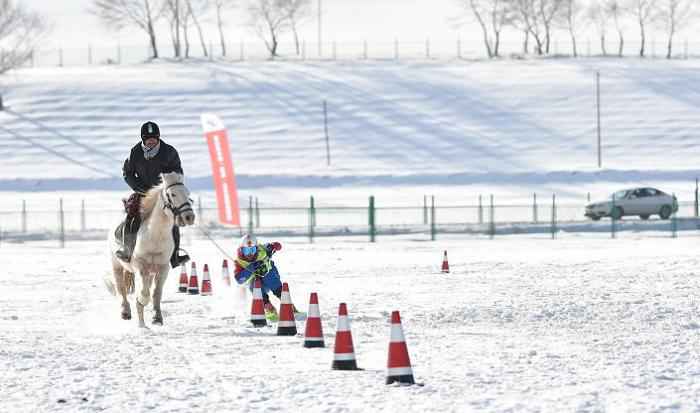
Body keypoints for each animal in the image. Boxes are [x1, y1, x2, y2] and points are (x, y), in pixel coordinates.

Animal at [105, 171, 196, 326]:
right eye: (172, 194)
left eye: (187, 193)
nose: (189, 216)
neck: (155, 235)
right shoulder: (140, 266)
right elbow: (144, 293)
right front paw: (140, 302)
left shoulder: (163, 267)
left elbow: (156, 293)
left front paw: (157, 317)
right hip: (116, 263)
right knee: (120, 286)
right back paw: (125, 311)